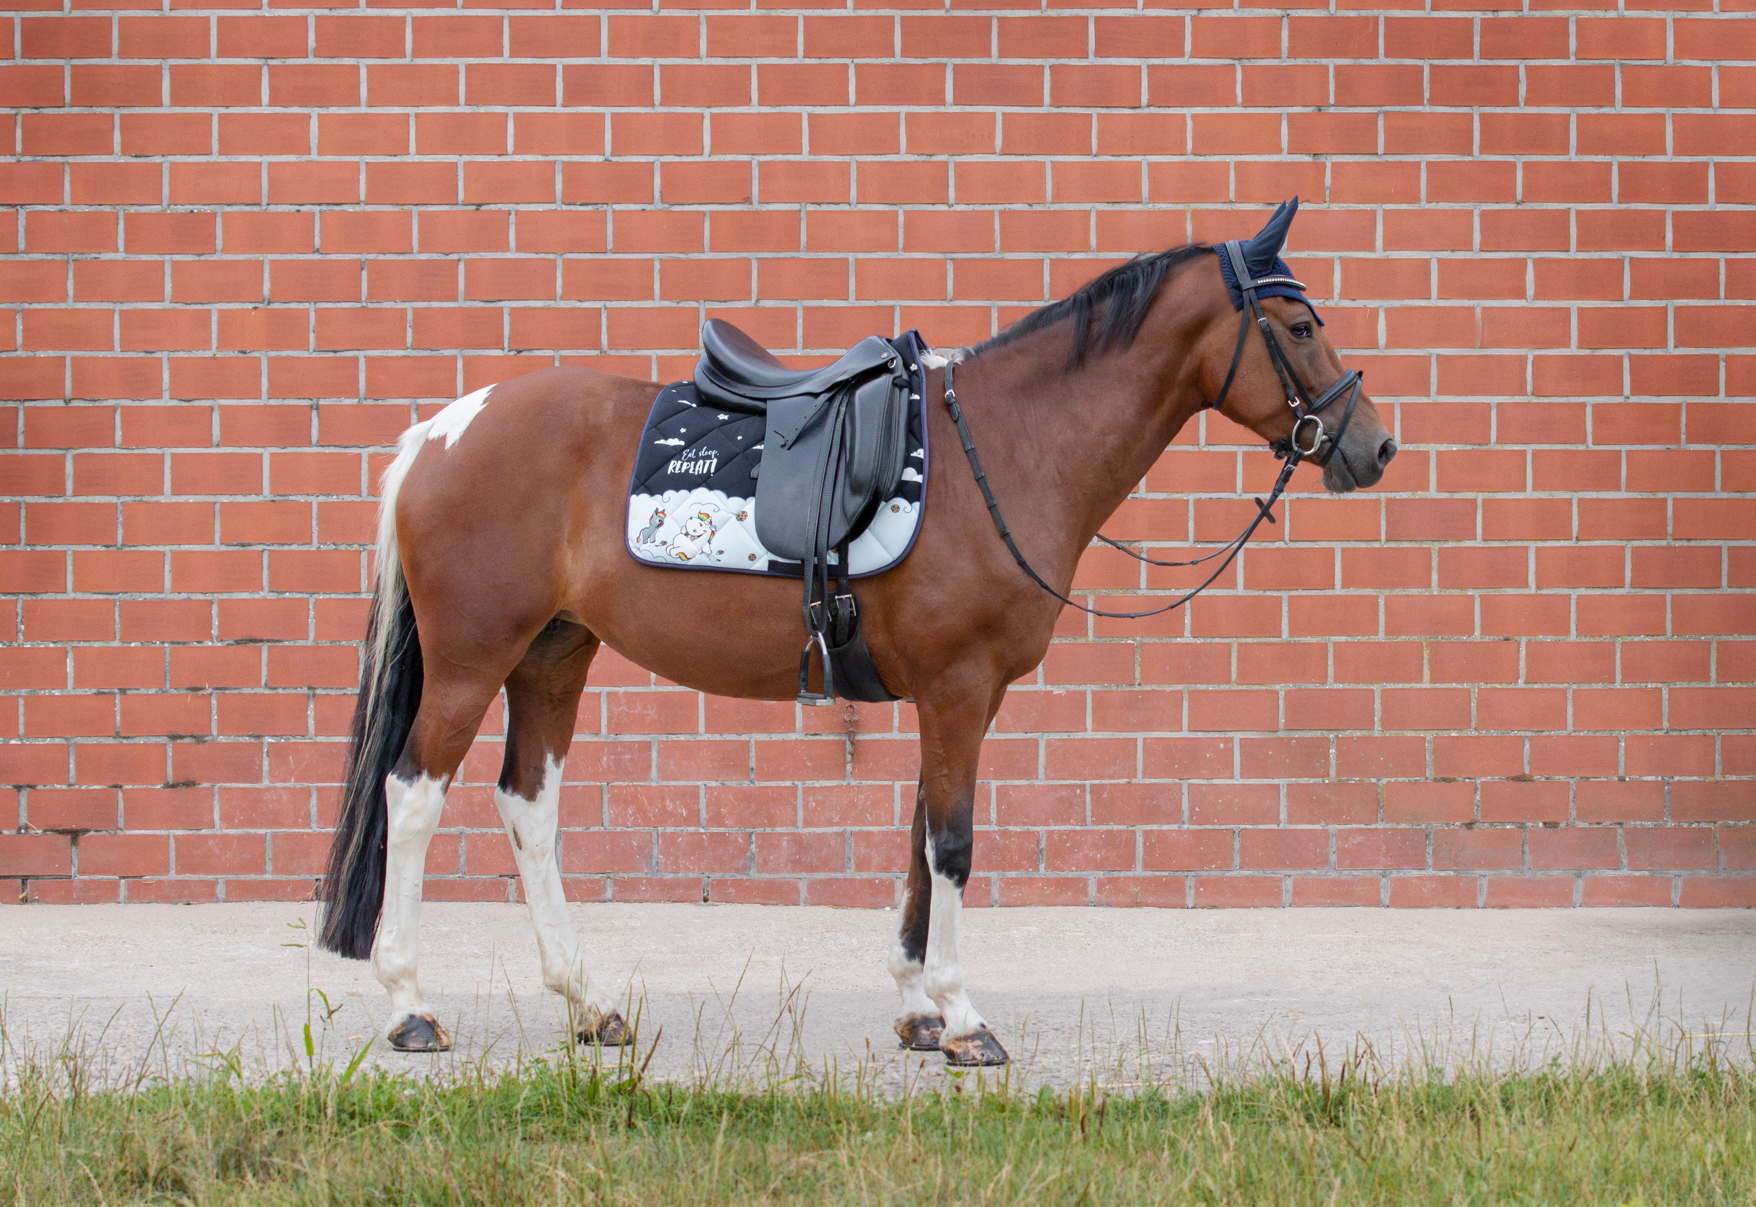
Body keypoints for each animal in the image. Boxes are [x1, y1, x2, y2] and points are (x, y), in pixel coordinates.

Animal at [319, 202, 1397, 1075]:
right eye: (1301, 325)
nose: (1373, 445)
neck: (1009, 449)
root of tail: (440, 434)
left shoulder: (958, 695)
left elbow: (920, 839)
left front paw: (918, 1011)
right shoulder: (958, 687)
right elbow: (954, 842)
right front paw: (963, 1022)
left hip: (552, 653)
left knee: (528, 806)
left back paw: (590, 1007)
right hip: (474, 656)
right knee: (414, 792)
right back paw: (410, 1007)